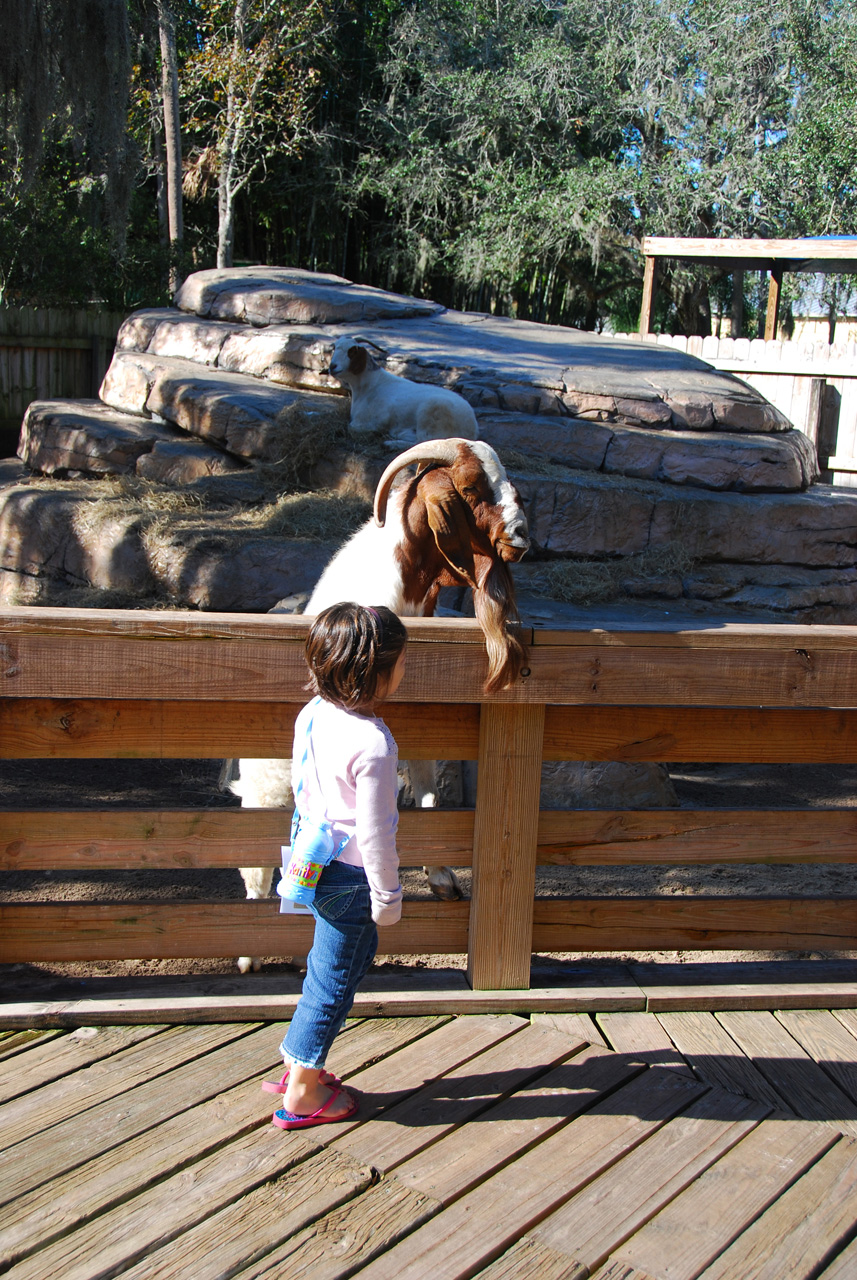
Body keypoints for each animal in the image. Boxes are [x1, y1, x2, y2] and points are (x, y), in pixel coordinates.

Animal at [231, 437, 534, 967]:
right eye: (472, 488)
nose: (522, 535)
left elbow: (430, 798)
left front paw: (443, 879)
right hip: (266, 789)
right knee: (255, 867)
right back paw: (250, 953)